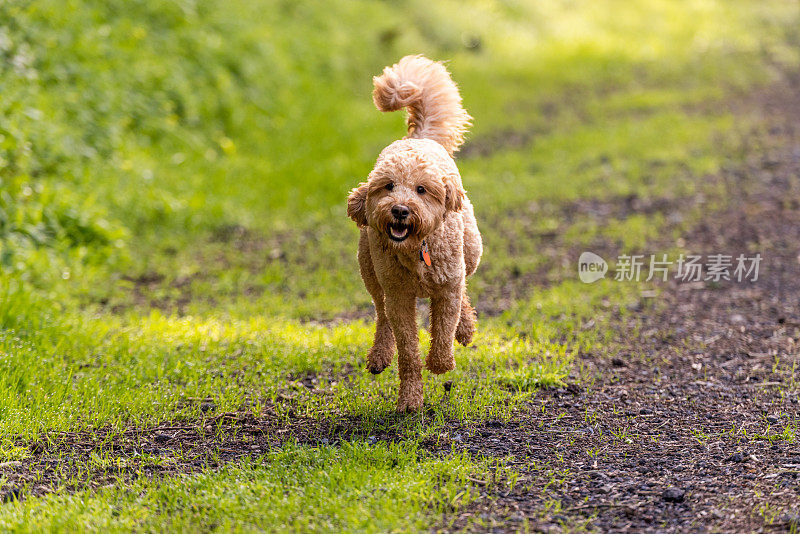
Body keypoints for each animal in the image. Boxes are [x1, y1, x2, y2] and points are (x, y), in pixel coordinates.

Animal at [346, 54, 482, 414]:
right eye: (388, 186)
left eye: (421, 190)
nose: (400, 210)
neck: (415, 250)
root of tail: (419, 138)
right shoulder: (399, 296)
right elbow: (407, 350)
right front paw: (410, 398)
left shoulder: (446, 286)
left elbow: (444, 326)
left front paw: (440, 361)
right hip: (370, 270)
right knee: (380, 314)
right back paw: (379, 355)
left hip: (471, 251)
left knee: (464, 288)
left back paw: (465, 328)